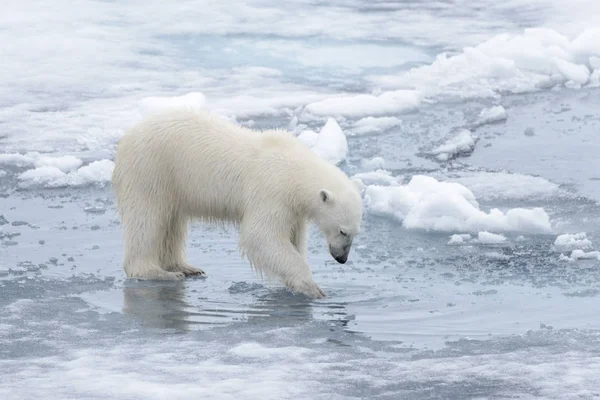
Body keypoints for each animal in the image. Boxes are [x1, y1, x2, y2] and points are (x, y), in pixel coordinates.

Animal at [113, 108, 366, 296]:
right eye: (343, 231)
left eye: (355, 233)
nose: (341, 259)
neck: (294, 171)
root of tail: (127, 137)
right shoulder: (271, 192)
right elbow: (261, 236)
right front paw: (311, 287)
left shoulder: (293, 209)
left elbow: (294, 238)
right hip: (152, 170)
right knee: (147, 219)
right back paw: (157, 272)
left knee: (172, 224)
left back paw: (185, 267)